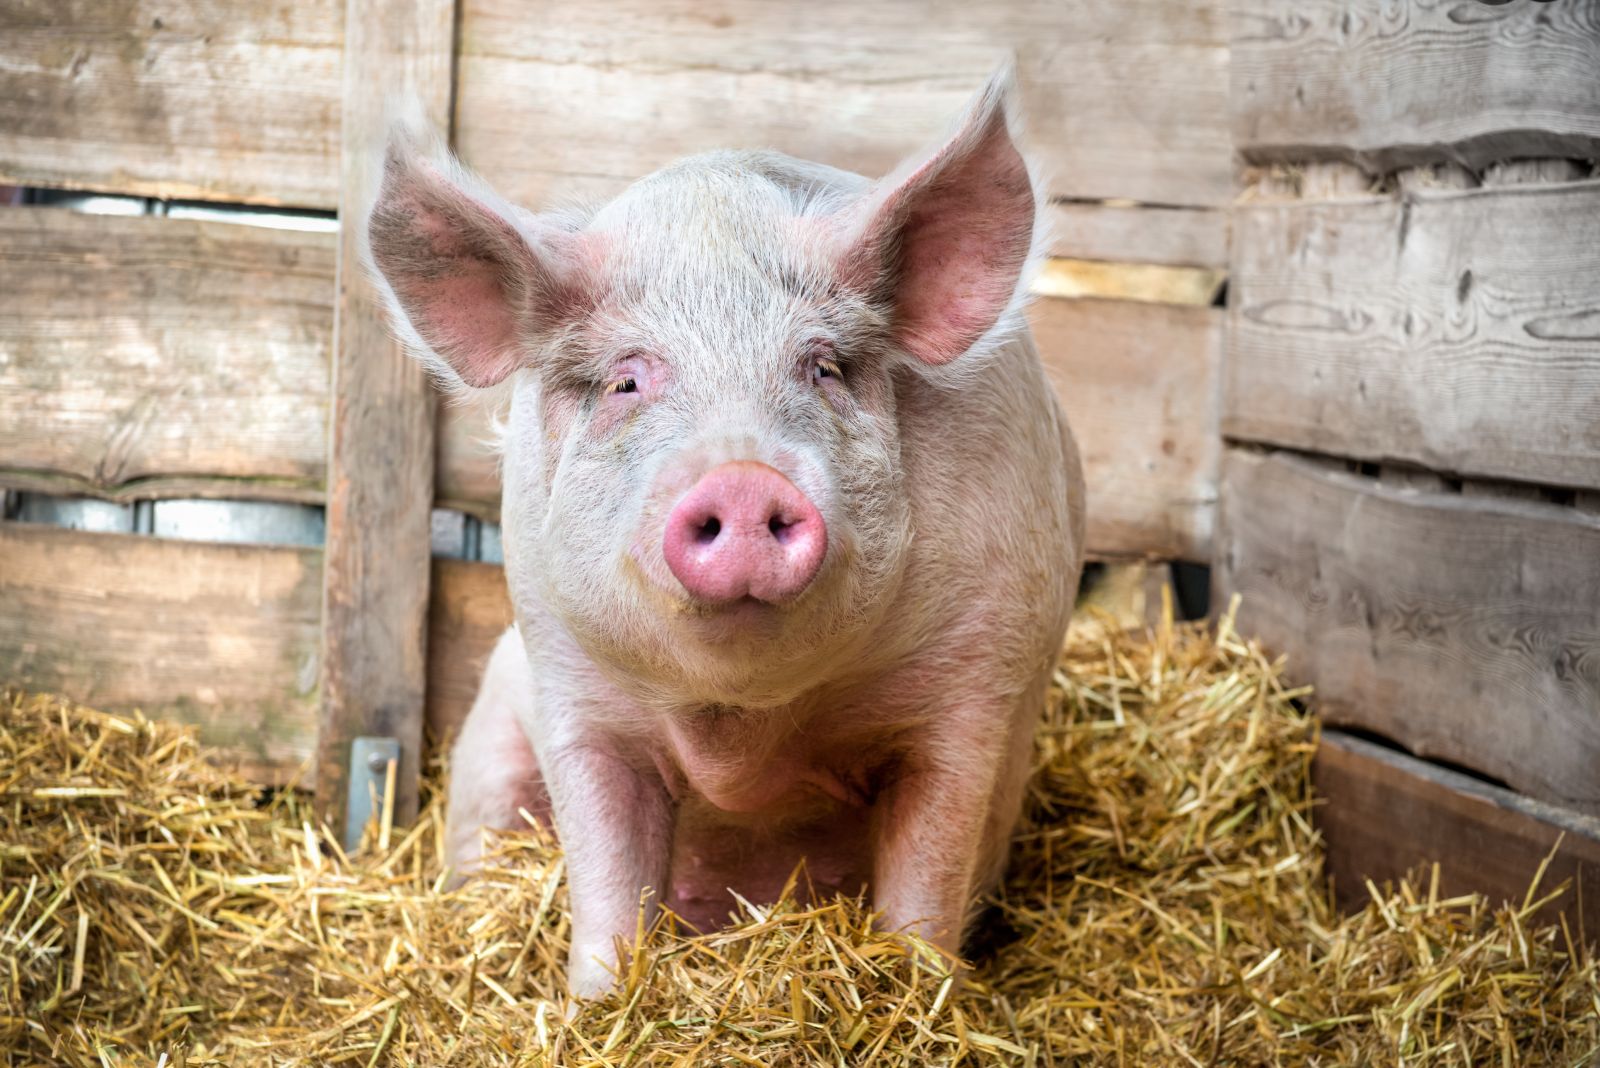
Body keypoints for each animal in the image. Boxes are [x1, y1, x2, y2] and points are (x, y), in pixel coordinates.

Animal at [364, 70, 1088, 997]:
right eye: (627, 381)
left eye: (823, 367)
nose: (743, 476)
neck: (746, 730)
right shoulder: (569, 682)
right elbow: (606, 877)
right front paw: (597, 1004)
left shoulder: (975, 684)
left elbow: (927, 881)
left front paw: (918, 993)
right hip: (491, 725)